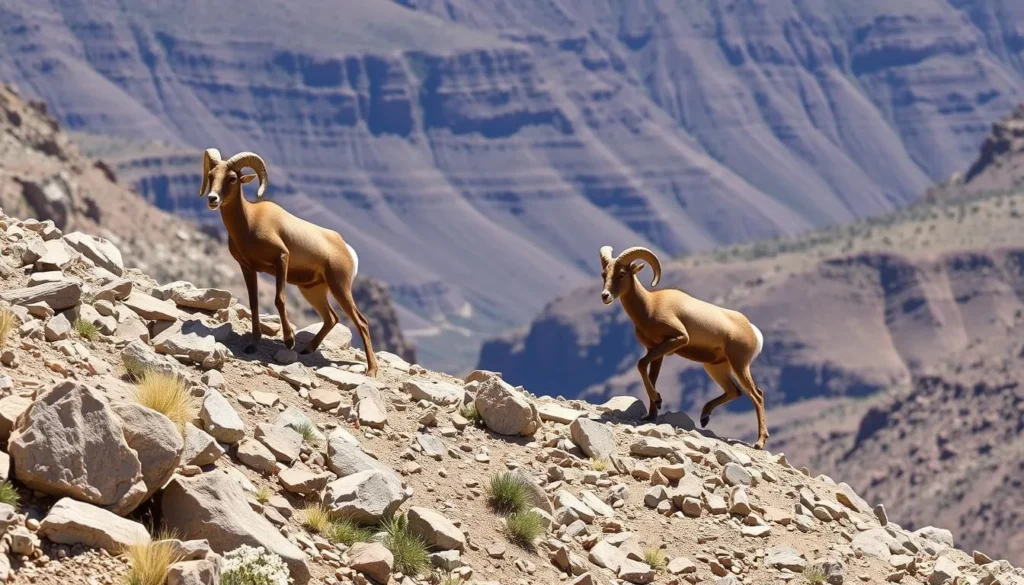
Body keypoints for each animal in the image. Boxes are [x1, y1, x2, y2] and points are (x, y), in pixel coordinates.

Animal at [198, 148, 378, 377]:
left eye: (231, 178)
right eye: (211, 175)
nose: (212, 199)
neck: (250, 221)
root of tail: (345, 248)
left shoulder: (281, 259)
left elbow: (279, 300)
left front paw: (289, 340)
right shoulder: (248, 268)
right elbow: (254, 303)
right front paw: (253, 344)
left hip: (339, 287)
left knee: (361, 322)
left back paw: (371, 370)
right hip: (312, 291)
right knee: (331, 318)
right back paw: (307, 349)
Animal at [599, 245, 769, 449]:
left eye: (622, 273)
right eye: (604, 274)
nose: (605, 296)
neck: (650, 305)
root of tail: (752, 331)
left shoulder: (677, 339)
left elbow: (640, 364)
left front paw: (658, 400)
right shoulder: (655, 352)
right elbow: (649, 375)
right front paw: (651, 414)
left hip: (739, 365)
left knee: (757, 395)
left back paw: (759, 442)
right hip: (715, 367)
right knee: (734, 391)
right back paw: (704, 417)